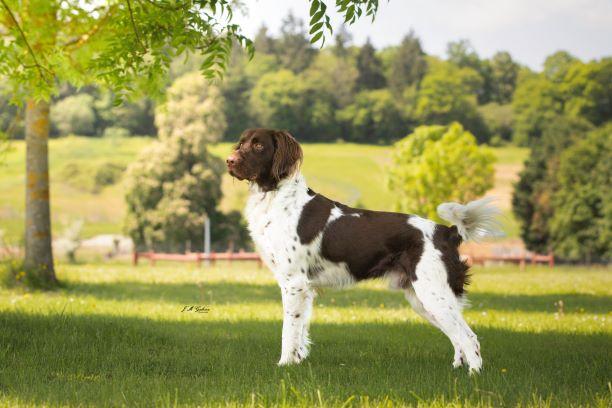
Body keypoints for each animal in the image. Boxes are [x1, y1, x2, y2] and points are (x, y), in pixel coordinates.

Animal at [227, 127, 500, 372]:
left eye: (259, 145)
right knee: (457, 337)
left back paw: (474, 376)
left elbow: (289, 330)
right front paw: (298, 362)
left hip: (433, 293)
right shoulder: (304, 288)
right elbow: (301, 330)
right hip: (423, 298)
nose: (229, 161)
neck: (276, 196)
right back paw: (457, 368)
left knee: (470, 337)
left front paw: (284, 365)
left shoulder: (294, 282)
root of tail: (447, 231)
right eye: (241, 143)